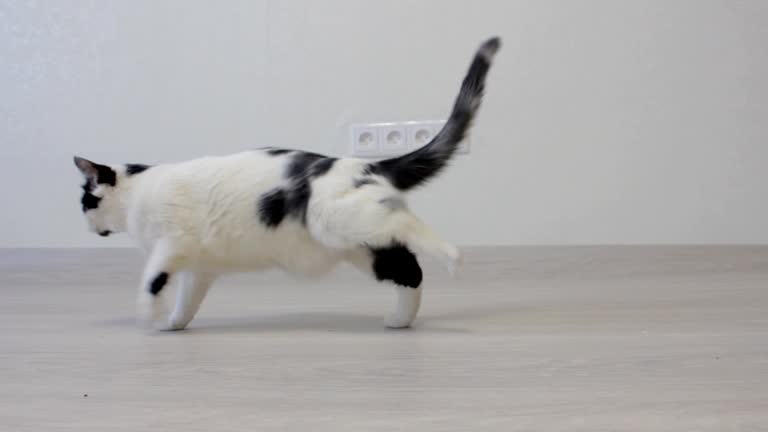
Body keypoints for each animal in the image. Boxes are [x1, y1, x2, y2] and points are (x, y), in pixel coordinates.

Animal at [75, 36, 500, 330]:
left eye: (85, 202)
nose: (86, 225)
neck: (137, 192)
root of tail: (363, 164)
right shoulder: (198, 268)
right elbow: (186, 301)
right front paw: (172, 324)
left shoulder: (170, 245)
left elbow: (151, 280)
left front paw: (147, 314)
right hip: (358, 246)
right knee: (408, 269)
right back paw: (400, 320)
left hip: (338, 222)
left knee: (409, 229)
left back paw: (451, 255)